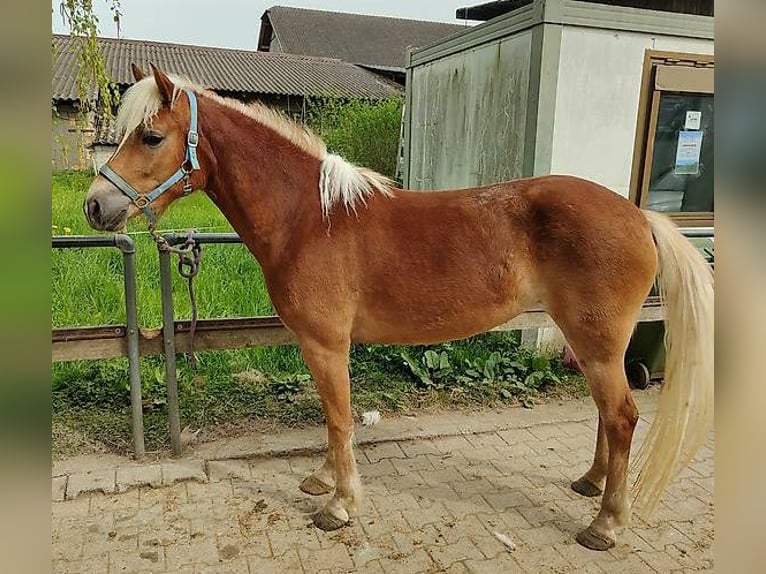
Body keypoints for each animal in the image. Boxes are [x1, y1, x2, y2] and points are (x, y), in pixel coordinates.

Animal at [84, 64, 712, 552]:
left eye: (149, 137)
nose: (94, 205)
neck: (309, 218)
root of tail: (639, 216)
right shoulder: (318, 346)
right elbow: (330, 418)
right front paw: (323, 482)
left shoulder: (326, 344)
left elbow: (339, 419)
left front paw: (340, 506)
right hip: (591, 342)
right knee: (608, 416)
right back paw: (590, 484)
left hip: (597, 341)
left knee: (623, 417)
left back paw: (606, 524)